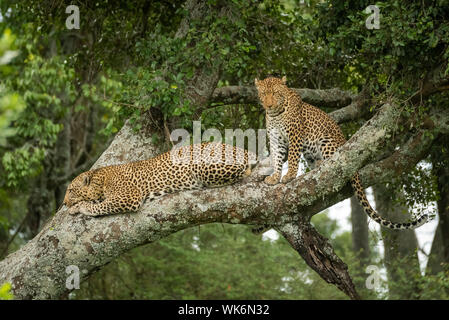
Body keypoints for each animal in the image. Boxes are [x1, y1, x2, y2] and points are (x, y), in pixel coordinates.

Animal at [63, 143, 256, 216]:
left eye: (71, 190)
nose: (64, 203)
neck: (100, 179)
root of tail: (244, 150)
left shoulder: (129, 197)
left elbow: (100, 206)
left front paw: (80, 208)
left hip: (205, 165)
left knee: (242, 172)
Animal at [256, 75, 428, 230]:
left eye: (275, 93)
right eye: (264, 94)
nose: (269, 105)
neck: (275, 114)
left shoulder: (295, 135)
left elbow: (292, 157)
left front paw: (290, 175)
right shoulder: (276, 140)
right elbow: (277, 159)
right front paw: (275, 177)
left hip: (326, 141)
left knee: (336, 165)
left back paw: (323, 163)